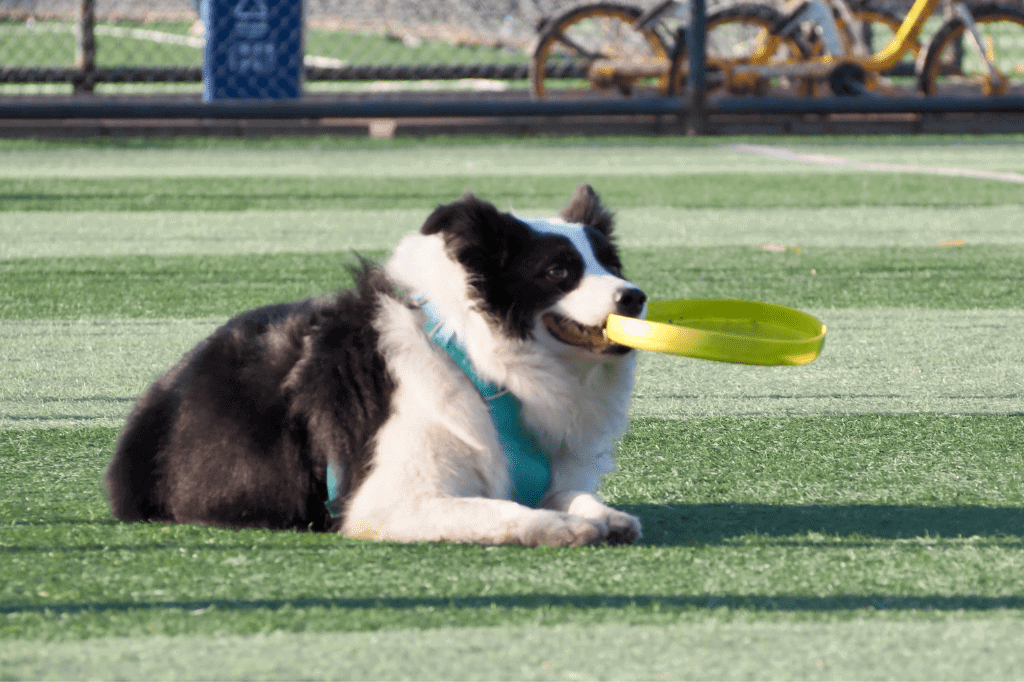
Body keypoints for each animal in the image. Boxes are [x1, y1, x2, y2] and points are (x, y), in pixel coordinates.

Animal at [105, 183, 647, 544]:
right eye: (558, 272)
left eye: (613, 265)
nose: (635, 297)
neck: (483, 364)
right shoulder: (389, 502)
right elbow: (497, 510)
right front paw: (559, 526)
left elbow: (569, 494)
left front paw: (599, 513)